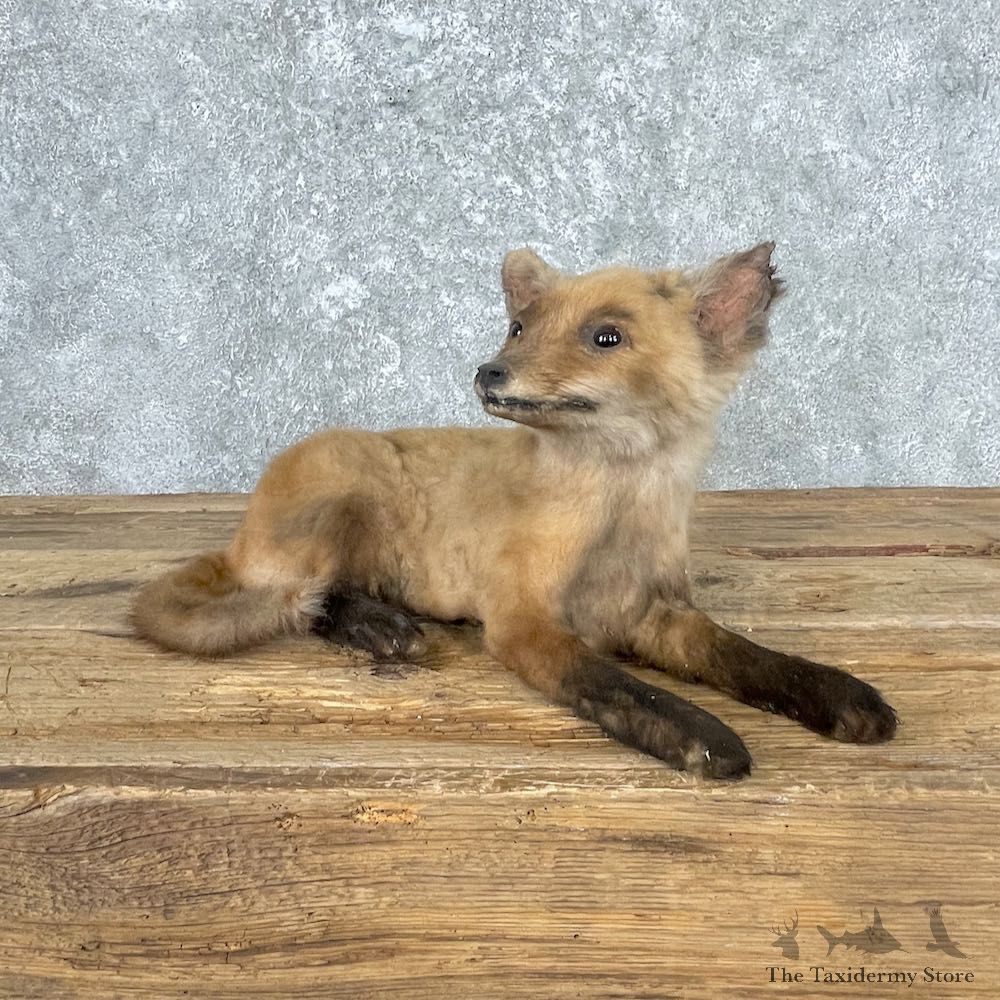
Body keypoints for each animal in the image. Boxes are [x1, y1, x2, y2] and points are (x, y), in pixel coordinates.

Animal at [131, 242, 897, 779]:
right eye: (519, 327)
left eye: (605, 337)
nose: (487, 372)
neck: (613, 521)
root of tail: (243, 534)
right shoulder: (523, 624)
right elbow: (624, 689)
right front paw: (705, 739)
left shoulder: (656, 613)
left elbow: (747, 656)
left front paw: (836, 693)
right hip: (344, 485)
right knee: (306, 598)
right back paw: (381, 627)